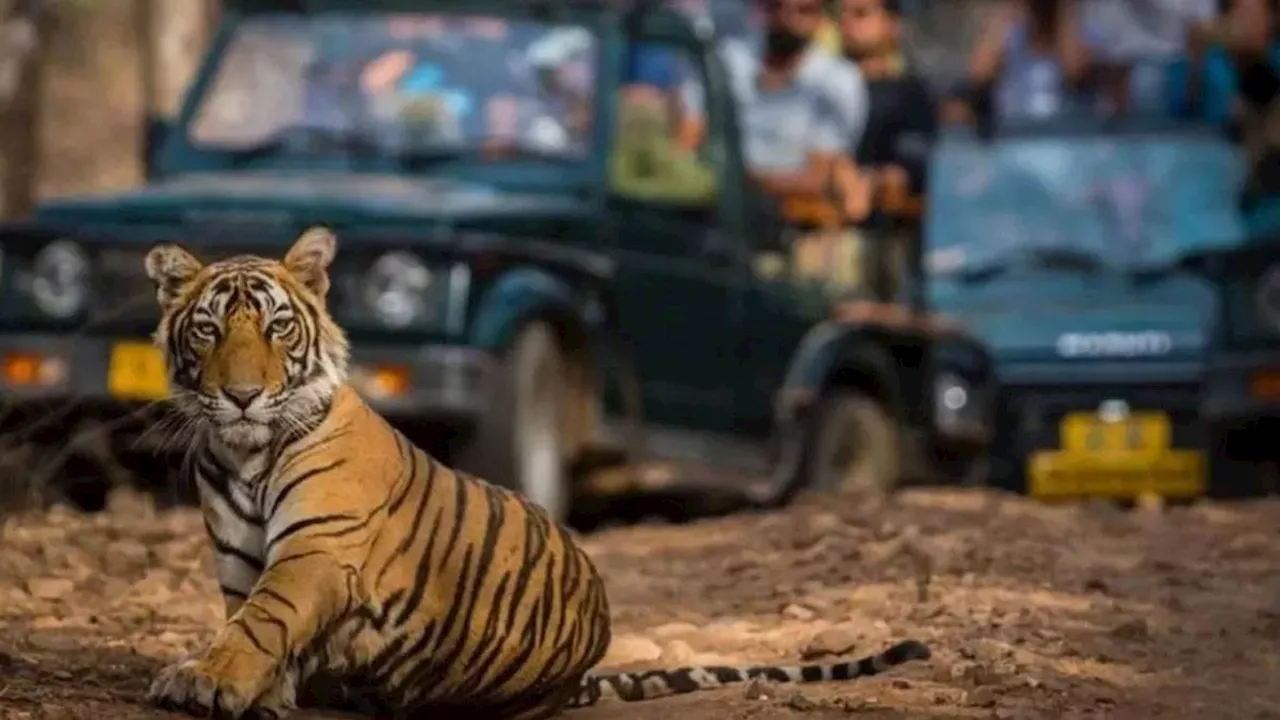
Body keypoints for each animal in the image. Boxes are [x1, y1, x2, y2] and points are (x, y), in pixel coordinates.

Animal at [145, 225, 936, 717]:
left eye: (278, 327)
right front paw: (256, 689)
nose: (242, 395)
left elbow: (262, 620)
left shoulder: (317, 548)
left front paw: (207, 680)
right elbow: (247, 619)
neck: (244, 454)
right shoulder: (239, 558)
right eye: (208, 329)